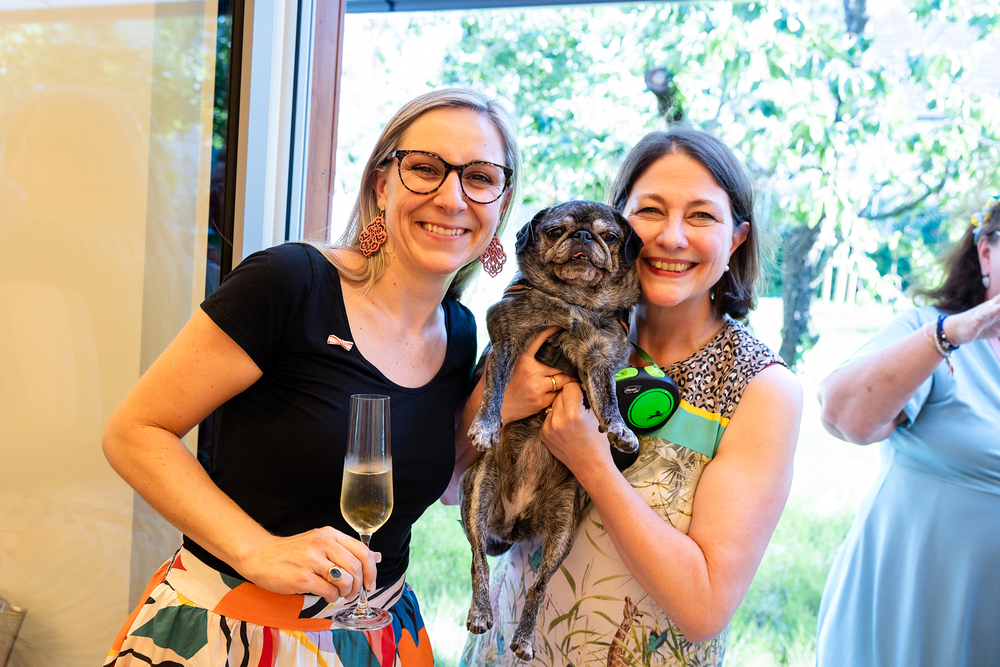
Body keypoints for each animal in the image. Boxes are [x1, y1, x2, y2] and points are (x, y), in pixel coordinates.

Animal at [461, 200, 643, 661]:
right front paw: (486, 424)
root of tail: (514, 526)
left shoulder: (598, 362)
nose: (583, 236)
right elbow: (497, 387)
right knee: (478, 559)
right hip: (478, 492)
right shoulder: (508, 338)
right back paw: (481, 612)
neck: (574, 304)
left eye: (609, 236)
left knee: (540, 586)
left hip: (561, 529)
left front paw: (619, 429)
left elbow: (608, 398)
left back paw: (525, 638)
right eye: (556, 230)